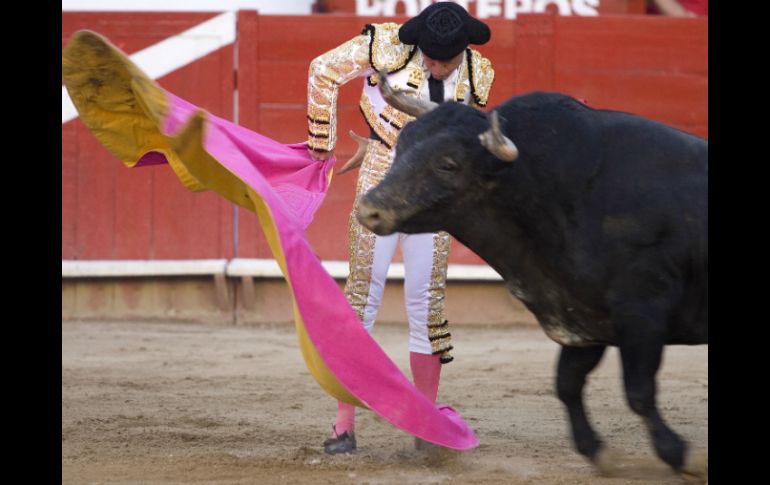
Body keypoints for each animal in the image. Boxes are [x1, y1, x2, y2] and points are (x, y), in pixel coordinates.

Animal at [356, 91, 704, 480]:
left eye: (448, 164)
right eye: (401, 146)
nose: (370, 209)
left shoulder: (643, 313)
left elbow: (639, 392)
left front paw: (683, 456)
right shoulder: (584, 315)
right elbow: (567, 385)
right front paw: (599, 453)